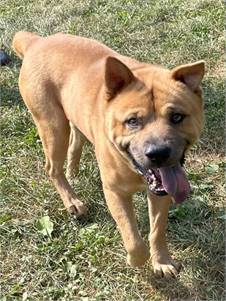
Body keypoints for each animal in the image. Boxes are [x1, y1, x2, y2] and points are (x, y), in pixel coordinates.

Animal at [11, 31, 205, 278]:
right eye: (132, 121)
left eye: (177, 117)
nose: (158, 154)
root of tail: (36, 41)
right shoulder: (115, 192)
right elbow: (133, 239)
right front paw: (135, 259)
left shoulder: (160, 193)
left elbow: (157, 230)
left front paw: (161, 261)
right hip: (53, 126)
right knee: (52, 168)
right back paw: (72, 201)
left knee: (76, 139)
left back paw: (72, 170)